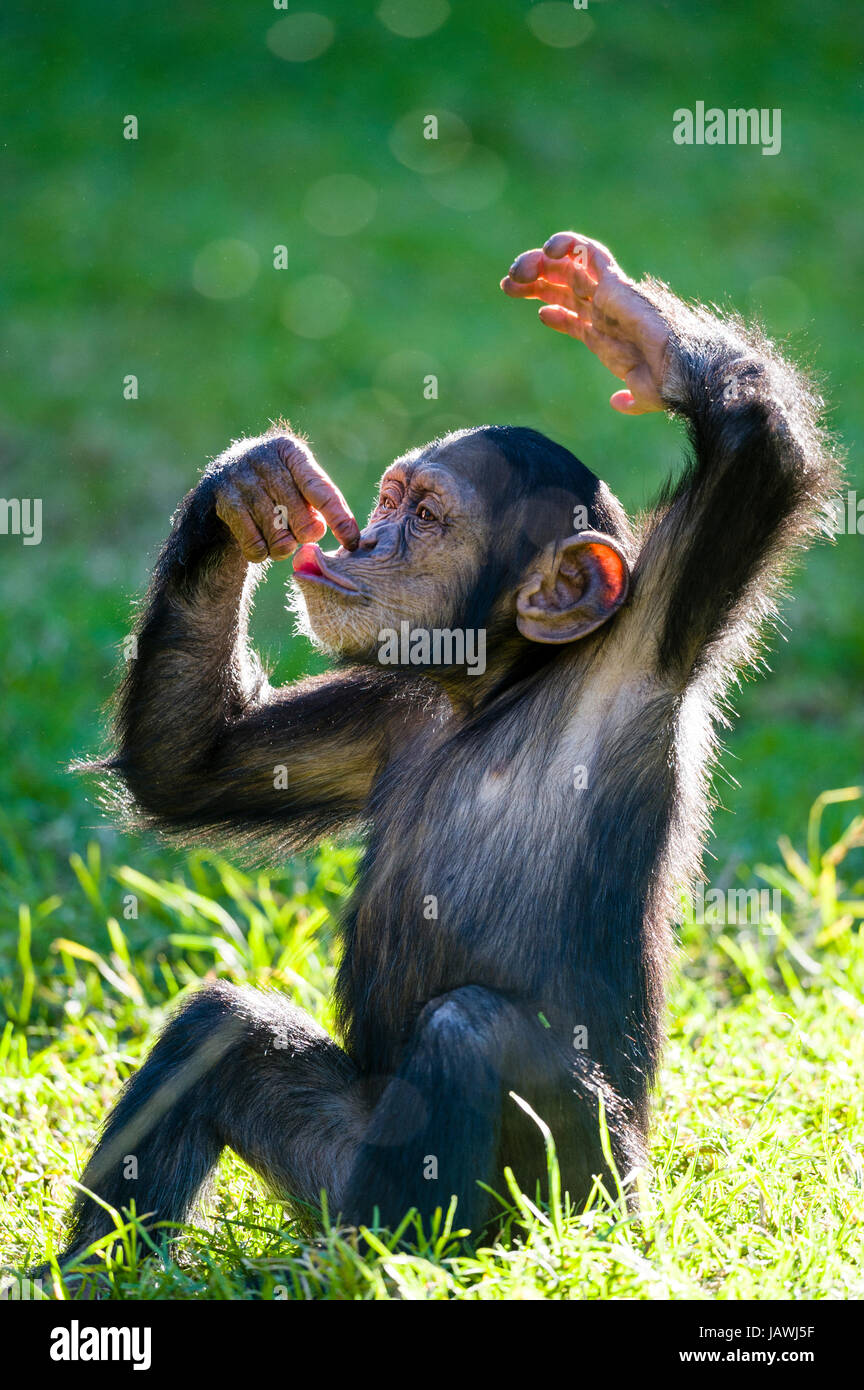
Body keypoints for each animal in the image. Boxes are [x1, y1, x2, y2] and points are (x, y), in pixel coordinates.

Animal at [54, 232, 838, 1266]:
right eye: (388, 498)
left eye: (426, 516)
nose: (366, 539)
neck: (498, 691)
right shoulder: (387, 709)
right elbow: (191, 764)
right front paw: (247, 491)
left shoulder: (648, 641)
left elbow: (758, 461)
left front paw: (636, 330)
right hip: (337, 1154)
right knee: (222, 1031)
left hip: (583, 1198)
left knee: (469, 1032)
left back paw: (375, 1264)